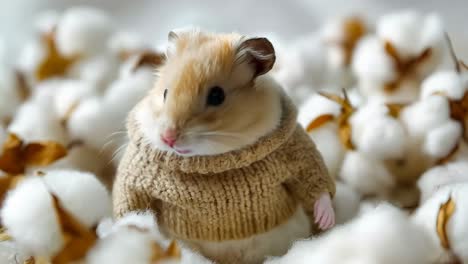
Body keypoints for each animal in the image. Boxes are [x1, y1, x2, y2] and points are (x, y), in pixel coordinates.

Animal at [116, 27, 336, 262]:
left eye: (216, 95)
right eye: (165, 93)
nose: (168, 138)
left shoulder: (292, 147)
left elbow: (312, 175)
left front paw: (325, 220)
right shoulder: (141, 167)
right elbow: (131, 196)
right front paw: (130, 227)